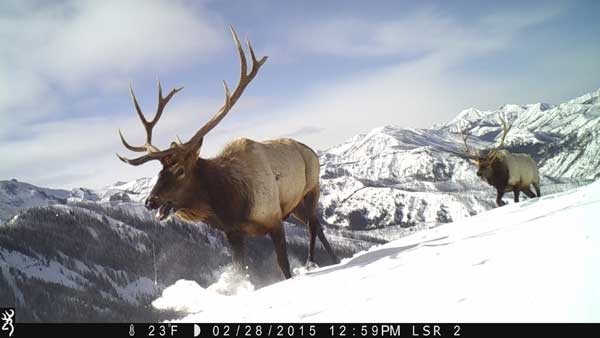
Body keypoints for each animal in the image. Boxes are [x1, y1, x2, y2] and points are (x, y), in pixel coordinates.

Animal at [116, 27, 338, 280]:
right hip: (295, 206)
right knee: (316, 225)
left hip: (311, 189)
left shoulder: (273, 219)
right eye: (160, 172)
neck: (229, 204)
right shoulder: (233, 233)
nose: (150, 202)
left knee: (314, 226)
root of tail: (312, 151)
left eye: (180, 170)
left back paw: (319, 260)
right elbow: (241, 271)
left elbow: (284, 266)